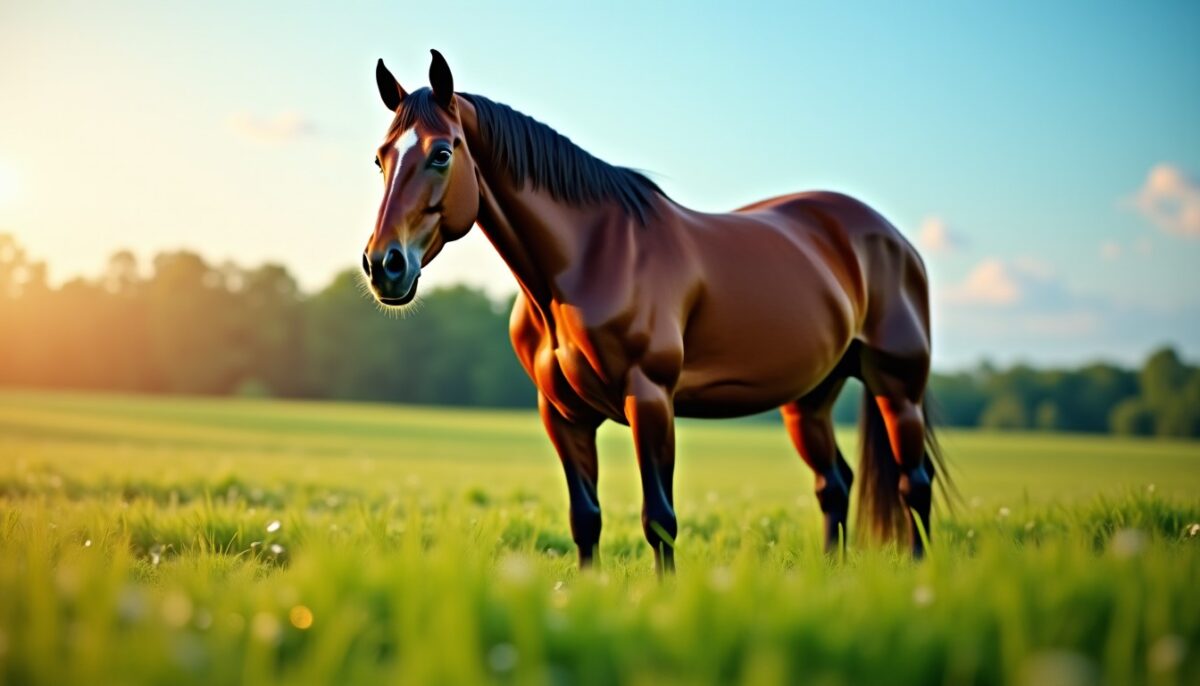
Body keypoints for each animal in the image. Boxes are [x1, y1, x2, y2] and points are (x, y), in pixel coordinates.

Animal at [363, 51, 949, 573]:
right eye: (380, 158)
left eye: (442, 153)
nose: (384, 265)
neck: (587, 262)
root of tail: (893, 239)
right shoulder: (563, 414)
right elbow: (585, 518)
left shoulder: (649, 400)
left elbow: (659, 519)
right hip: (809, 402)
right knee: (835, 484)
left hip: (897, 389)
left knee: (913, 485)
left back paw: (922, 574)